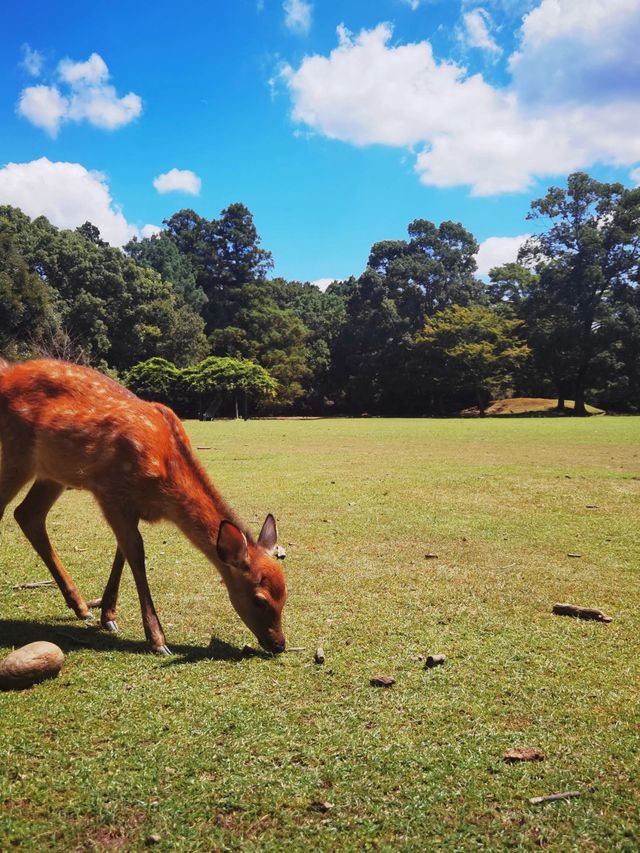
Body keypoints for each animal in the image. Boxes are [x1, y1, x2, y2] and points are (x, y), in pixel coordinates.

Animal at [0, 356, 286, 656]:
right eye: (259, 599)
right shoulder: (110, 492)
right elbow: (135, 553)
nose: (279, 644)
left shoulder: (130, 505)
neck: (164, 483)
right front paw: (157, 639)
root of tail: (6, 372)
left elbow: (122, 551)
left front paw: (108, 616)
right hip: (17, 450)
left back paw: (81, 607)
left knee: (28, 514)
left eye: (285, 594)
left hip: (52, 471)